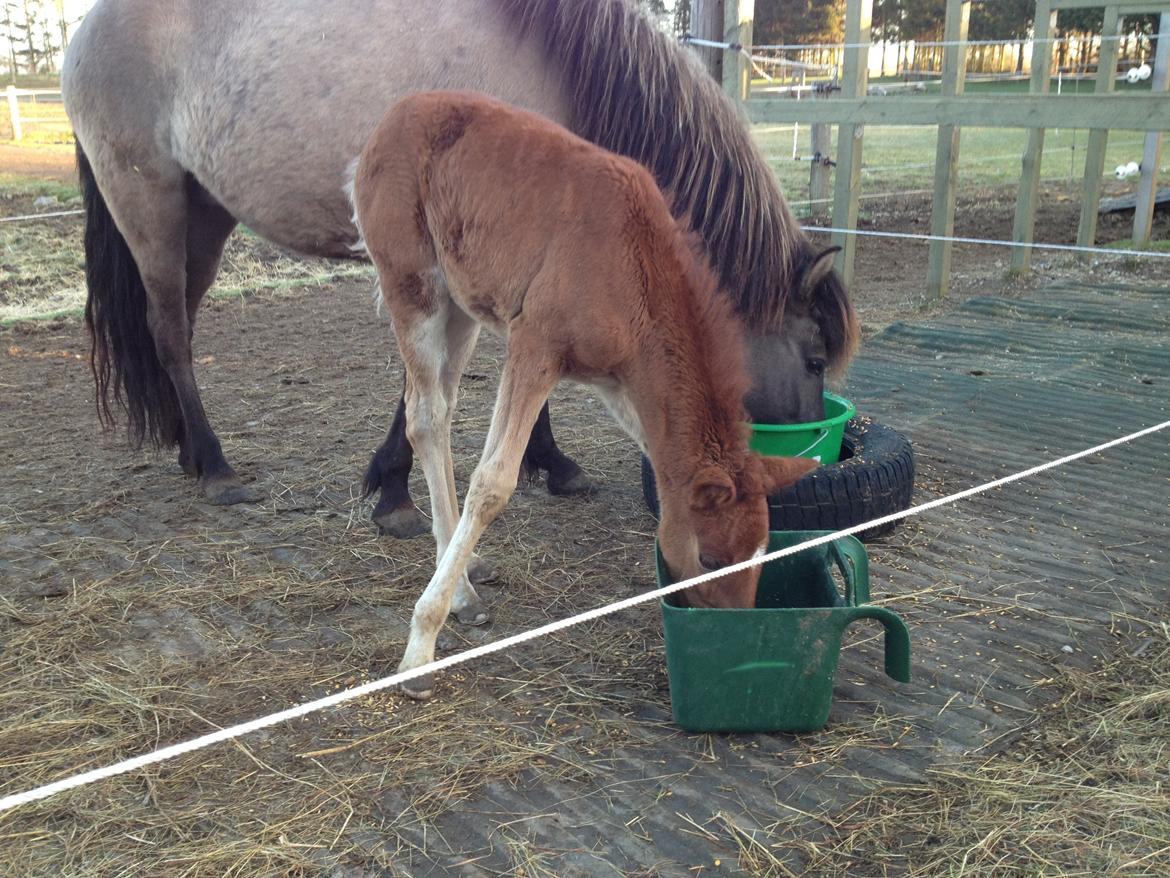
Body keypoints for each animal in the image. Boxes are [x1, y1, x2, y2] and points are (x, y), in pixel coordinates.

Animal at [59, 0, 856, 540]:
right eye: (814, 356)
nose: (807, 474)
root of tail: (88, 27)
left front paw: (544, 465)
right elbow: (435, 387)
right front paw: (397, 494)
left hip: (205, 212)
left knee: (179, 325)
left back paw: (189, 453)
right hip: (150, 204)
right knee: (169, 329)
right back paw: (217, 468)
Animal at [346, 94, 814, 702]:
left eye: (763, 550)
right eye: (711, 558)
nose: (732, 637)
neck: (630, 267)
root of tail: (392, 116)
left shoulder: (620, 382)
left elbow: (654, 452)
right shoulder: (534, 346)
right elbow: (493, 483)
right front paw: (420, 649)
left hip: (460, 306)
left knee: (440, 414)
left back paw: (467, 584)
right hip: (413, 286)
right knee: (425, 417)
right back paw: (453, 602)